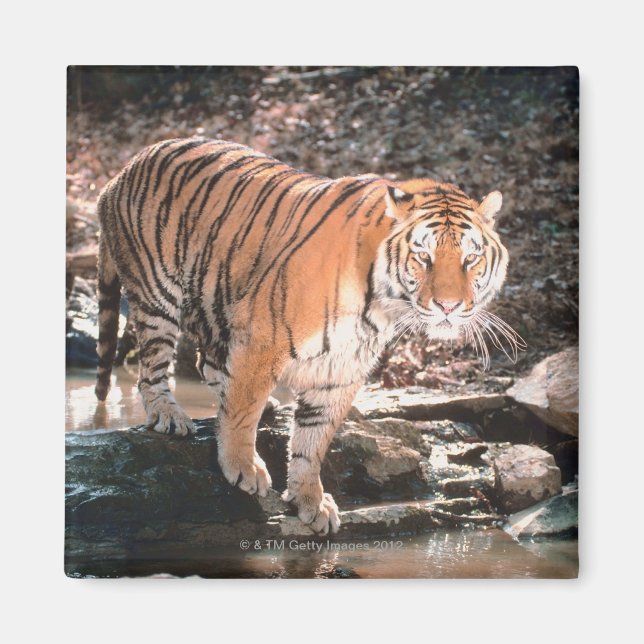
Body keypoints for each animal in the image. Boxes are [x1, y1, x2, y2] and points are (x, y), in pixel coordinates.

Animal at [94, 137, 523, 535]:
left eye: (471, 258)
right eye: (424, 257)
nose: (448, 305)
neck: (380, 307)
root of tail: (120, 172)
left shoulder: (342, 370)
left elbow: (312, 442)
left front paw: (310, 500)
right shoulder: (262, 338)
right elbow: (243, 412)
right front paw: (242, 466)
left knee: (207, 362)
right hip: (157, 295)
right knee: (151, 369)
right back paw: (169, 415)